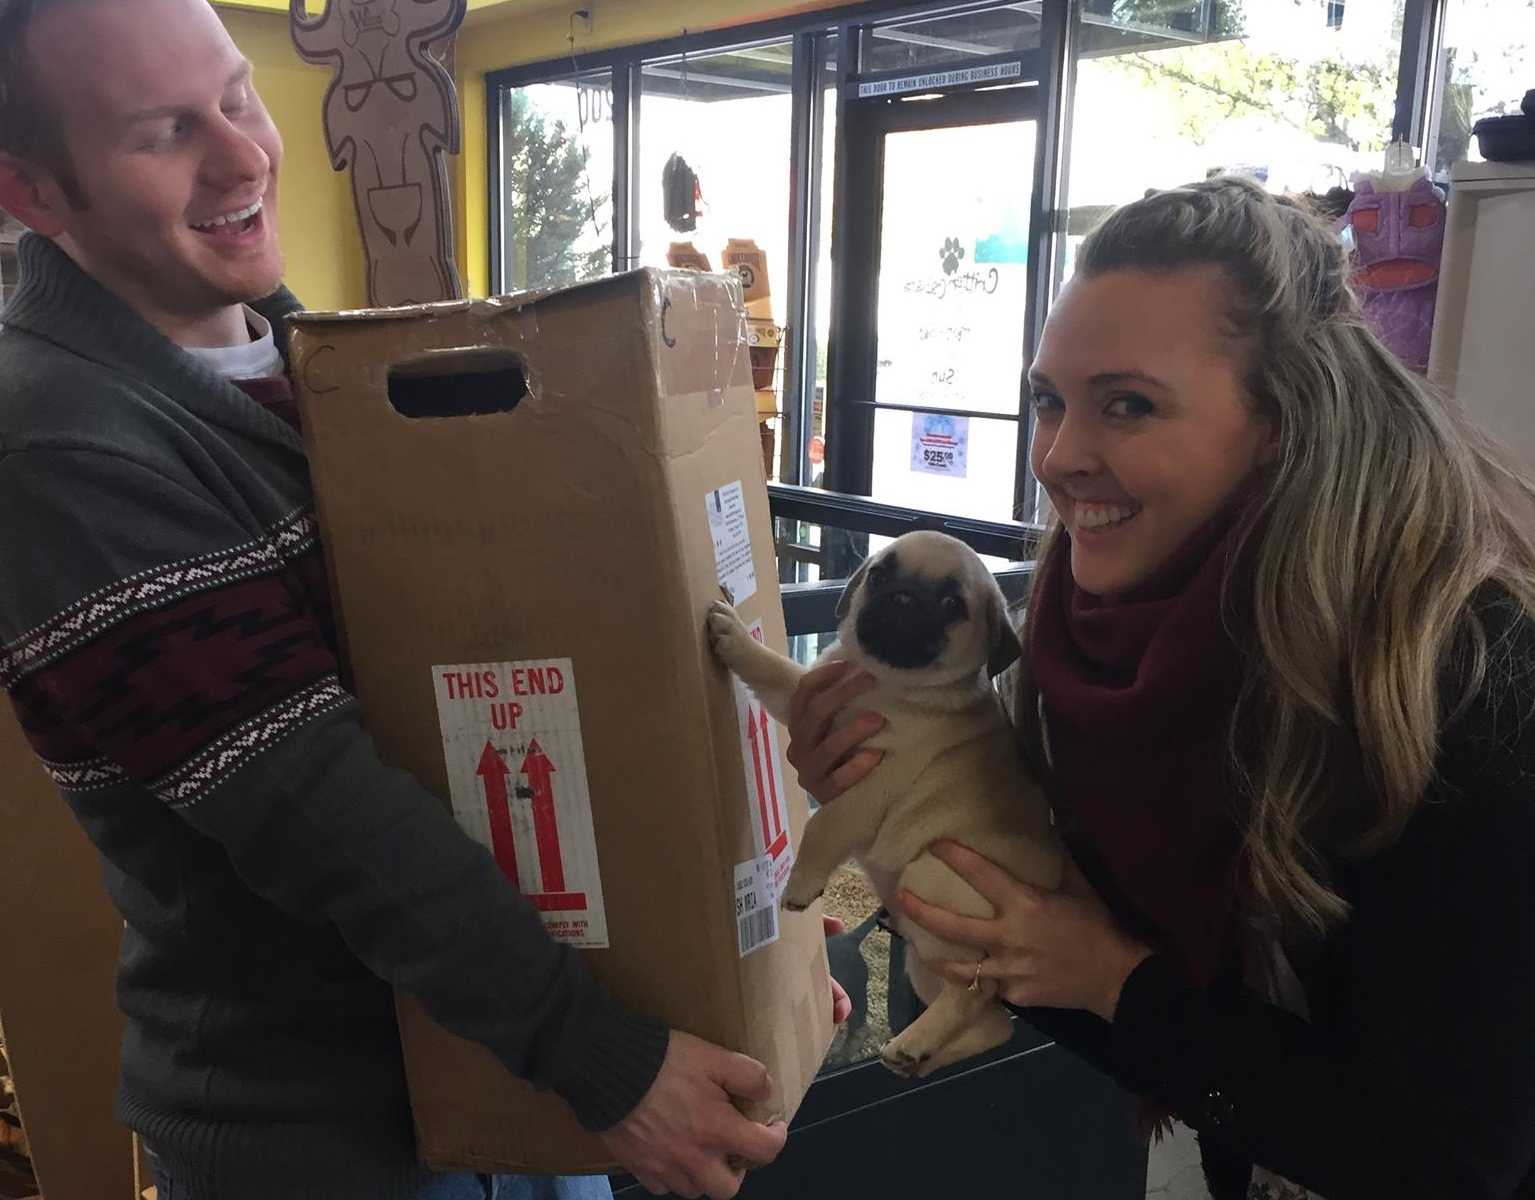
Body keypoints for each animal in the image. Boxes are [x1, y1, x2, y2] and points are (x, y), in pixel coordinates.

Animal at [703, 530, 1056, 1074]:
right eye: (880, 575)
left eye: (952, 605)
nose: (904, 598)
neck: (883, 681)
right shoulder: (807, 695)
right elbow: (776, 672)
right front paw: (735, 635)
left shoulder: (868, 785)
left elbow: (822, 827)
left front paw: (800, 885)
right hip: (923, 960)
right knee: (990, 1024)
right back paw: (915, 1054)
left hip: (930, 877)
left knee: (974, 994)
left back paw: (914, 1044)